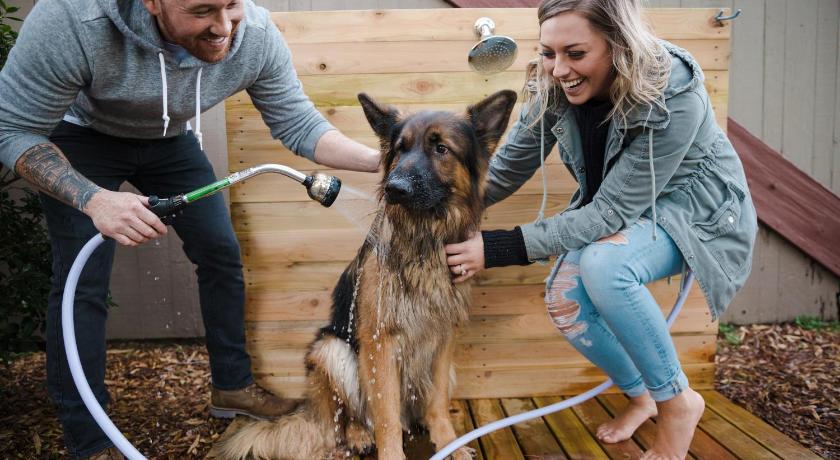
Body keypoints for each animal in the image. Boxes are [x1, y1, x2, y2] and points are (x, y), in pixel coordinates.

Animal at [220, 90, 516, 460]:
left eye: (441, 148)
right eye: (400, 148)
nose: (395, 188)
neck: (423, 239)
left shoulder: (444, 336)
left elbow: (437, 402)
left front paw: (449, 443)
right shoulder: (380, 342)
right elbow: (385, 413)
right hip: (330, 350)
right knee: (347, 417)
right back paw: (358, 434)